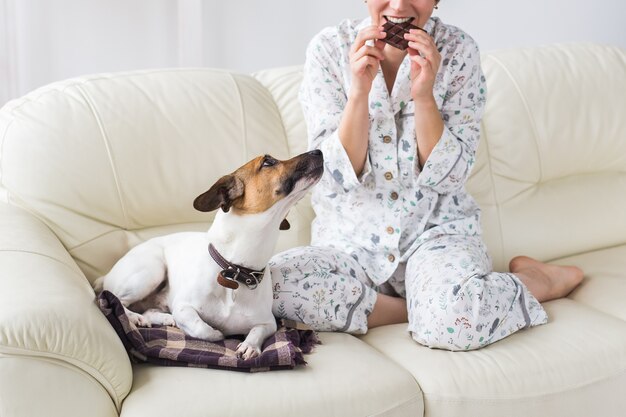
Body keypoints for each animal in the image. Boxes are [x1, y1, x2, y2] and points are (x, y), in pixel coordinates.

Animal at [96, 149, 326, 358]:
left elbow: (257, 331)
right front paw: (217, 333)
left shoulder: (268, 323)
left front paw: (249, 345)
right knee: (113, 299)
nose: (318, 151)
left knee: (147, 309)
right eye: (268, 162)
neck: (236, 270)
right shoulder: (184, 307)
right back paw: (136, 318)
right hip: (151, 270)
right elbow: (204, 329)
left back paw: (162, 318)